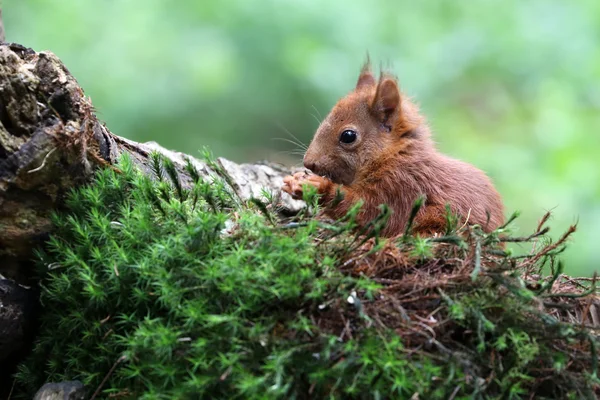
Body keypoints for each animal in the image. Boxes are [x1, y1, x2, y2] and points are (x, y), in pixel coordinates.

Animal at [282, 61, 502, 236]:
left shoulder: (402, 186)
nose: (308, 162)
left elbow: (372, 213)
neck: (393, 156)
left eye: (348, 136)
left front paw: (316, 186)